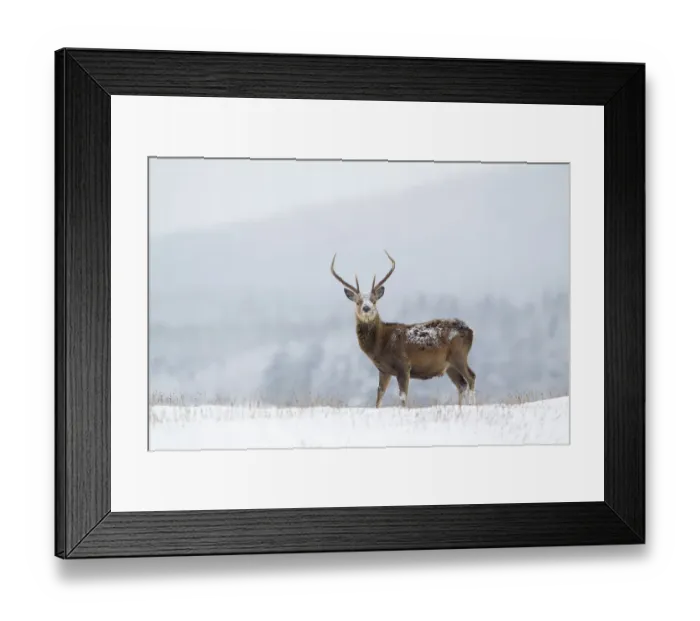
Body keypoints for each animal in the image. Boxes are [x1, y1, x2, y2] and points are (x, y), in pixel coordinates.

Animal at [331, 251, 476, 408]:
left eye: (374, 301)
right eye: (358, 302)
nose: (367, 308)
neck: (381, 345)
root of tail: (470, 330)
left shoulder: (404, 365)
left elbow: (402, 397)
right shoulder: (384, 370)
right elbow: (379, 397)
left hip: (459, 354)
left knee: (471, 377)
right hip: (449, 365)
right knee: (461, 385)